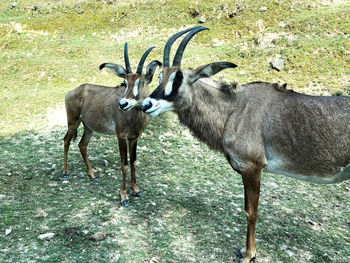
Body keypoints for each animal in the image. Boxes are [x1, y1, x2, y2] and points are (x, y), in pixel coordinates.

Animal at [63, 42, 161, 206]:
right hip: (73, 122)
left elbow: (133, 162)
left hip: (88, 128)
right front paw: (124, 196)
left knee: (82, 145)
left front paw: (136, 189)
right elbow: (124, 164)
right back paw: (64, 172)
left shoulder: (134, 137)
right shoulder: (121, 136)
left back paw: (92, 174)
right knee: (66, 141)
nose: (123, 104)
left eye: (140, 82)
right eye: (125, 82)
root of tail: (73, 91)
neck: (134, 115)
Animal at [141, 27, 350, 263]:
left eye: (179, 79)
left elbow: (251, 211)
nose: (146, 104)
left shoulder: (252, 168)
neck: (235, 108)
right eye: (160, 76)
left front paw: (249, 254)